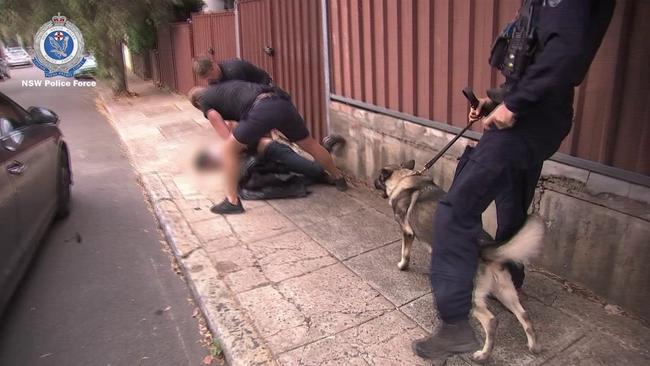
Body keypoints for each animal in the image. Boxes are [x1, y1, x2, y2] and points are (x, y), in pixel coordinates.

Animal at [372, 160, 544, 364]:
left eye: (379, 178)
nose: (373, 181)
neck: (404, 178)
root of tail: (484, 249)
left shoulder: (407, 233)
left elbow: (405, 253)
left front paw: (402, 266)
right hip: (505, 291)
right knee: (524, 315)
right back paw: (533, 346)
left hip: (472, 296)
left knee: (491, 321)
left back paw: (483, 354)